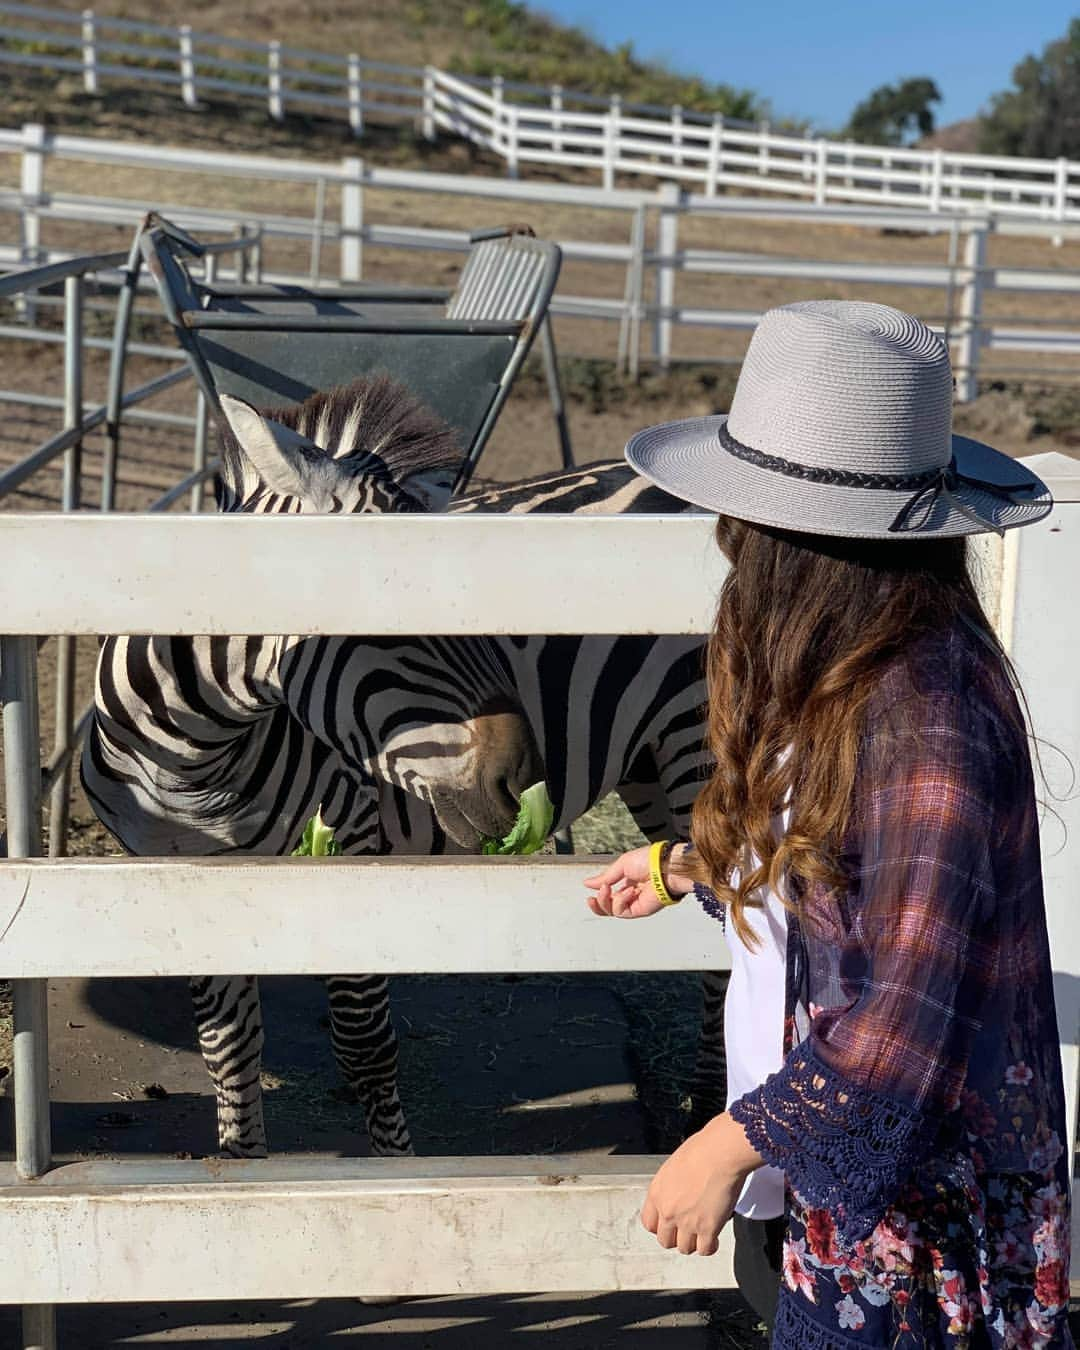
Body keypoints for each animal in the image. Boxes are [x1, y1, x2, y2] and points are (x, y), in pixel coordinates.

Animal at [82, 378, 723, 1161]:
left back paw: (708, 1121)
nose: (524, 781)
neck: (192, 761)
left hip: (696, 737)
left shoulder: (351, 845)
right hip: (649, 762)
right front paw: (239, 1168)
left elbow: (365, 1048)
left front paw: (392, 1168)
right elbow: (227, 1046)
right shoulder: (179, 877)